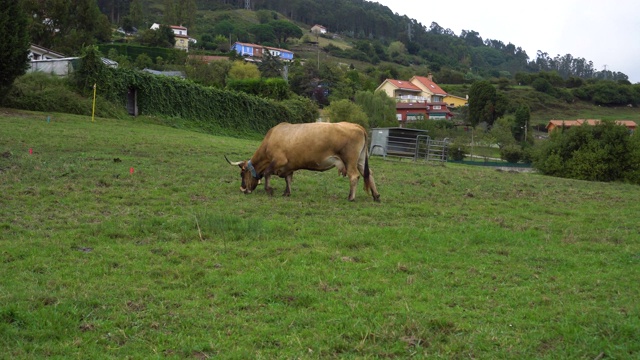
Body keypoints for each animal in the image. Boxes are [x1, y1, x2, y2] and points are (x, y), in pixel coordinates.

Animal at [225, 122, 380, 202]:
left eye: (242, 174)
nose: (242, 189)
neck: (271, 139)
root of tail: (356, 126)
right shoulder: (289, 166)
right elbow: (288, 179)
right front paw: (286, 193)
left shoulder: (279, 160)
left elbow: (268, 172)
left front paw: (269, 190)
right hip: (361, 160)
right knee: (369, 174)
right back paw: (376, 196)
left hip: (350, 160)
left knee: (354, 176)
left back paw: (351, 197)